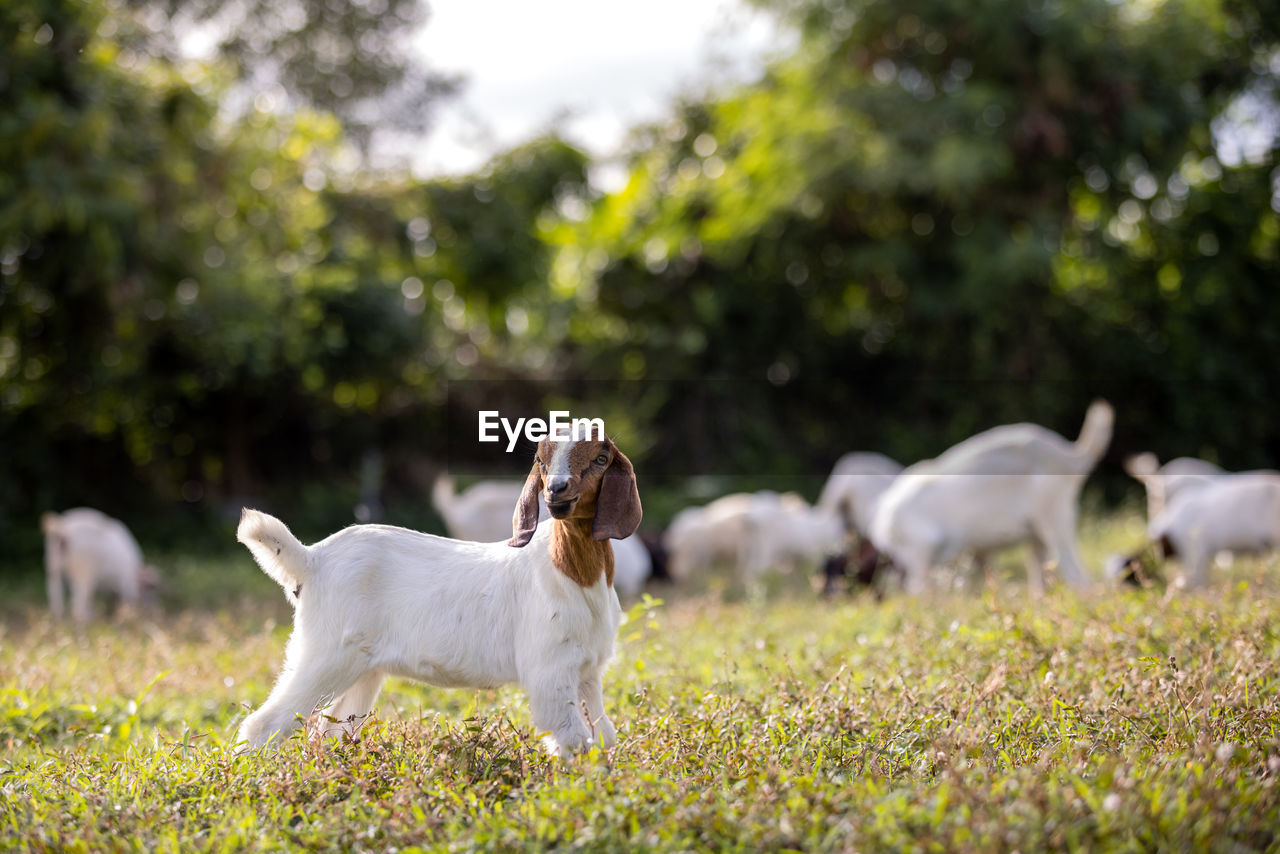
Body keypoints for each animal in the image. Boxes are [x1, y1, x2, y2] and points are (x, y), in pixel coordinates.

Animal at [870, 402, 1111, 594]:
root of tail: (1069, 456)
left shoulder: (921, 545)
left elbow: (918, 589)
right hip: (1036, 533)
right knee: (1044, 577)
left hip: (1055, 517)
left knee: (1077, 575)